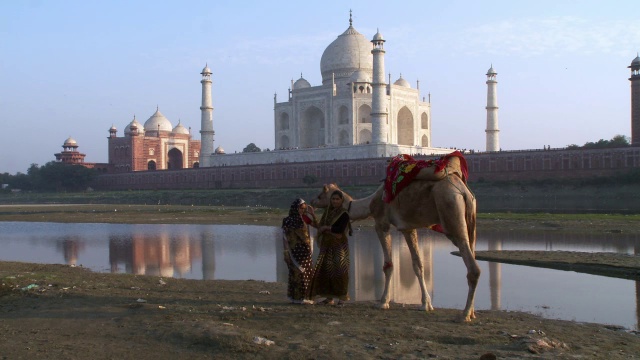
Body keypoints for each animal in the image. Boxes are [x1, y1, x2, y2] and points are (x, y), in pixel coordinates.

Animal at [310, 171, 480, 320]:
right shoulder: (408, 227)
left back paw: (464, 315)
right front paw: (426, 304)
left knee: (473, 268)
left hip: (451, 211)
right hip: (470, 218)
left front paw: (383, 302)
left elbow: (388, 265)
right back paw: (472, 312)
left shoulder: (381, 223)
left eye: (320, 195)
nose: (311, 202)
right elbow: (418, 265)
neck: (370, 203)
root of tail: (463, 192)